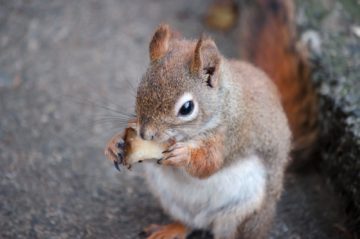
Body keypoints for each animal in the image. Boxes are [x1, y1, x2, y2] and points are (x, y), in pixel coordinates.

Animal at [104, 23, 292, 239]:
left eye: (187, 108)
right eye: (140, 91)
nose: (144, 134)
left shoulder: (229, 136)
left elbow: (209, 164)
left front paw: (183, 155)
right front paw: (115, 143)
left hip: (244, 212)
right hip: (172, 201)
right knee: (188, 223)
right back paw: (170, 229)